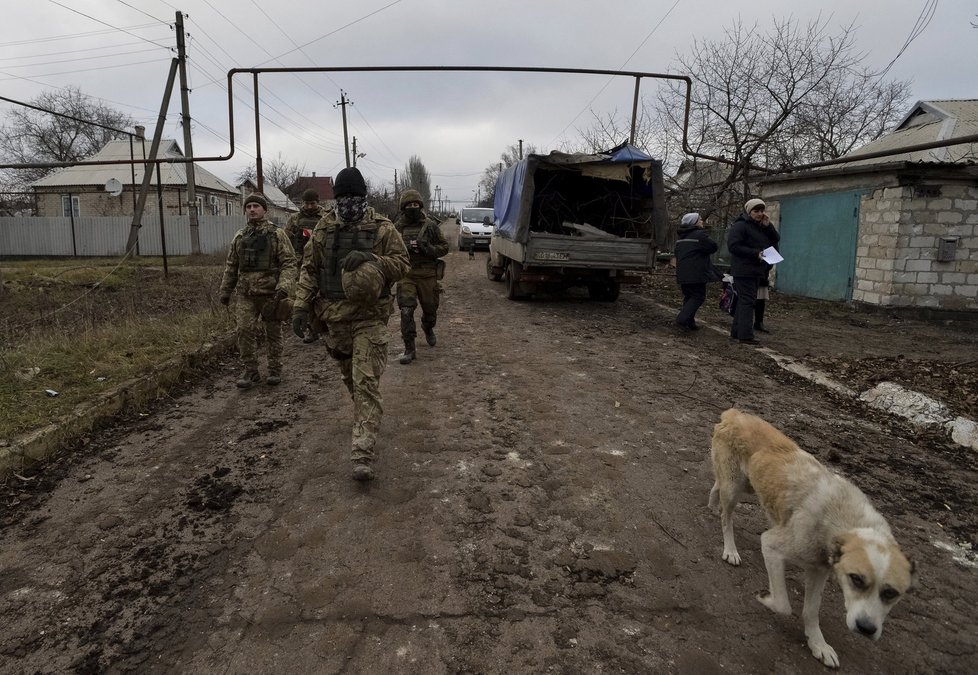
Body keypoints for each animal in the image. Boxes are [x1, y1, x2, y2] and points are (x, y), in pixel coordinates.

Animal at [704, 410, 912, 668]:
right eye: (856, 579)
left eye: (891, 593)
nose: (866, 628)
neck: (842, 518)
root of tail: (735, 414)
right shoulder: (771, 546)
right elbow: (783, 604)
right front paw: (766, 598)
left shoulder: (818, 570)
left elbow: (811, 611)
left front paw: (818, 645)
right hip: (735, 488)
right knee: (727, 517)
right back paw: (730, 549)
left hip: (748, 485)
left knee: (717, 486)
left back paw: (713, 505)